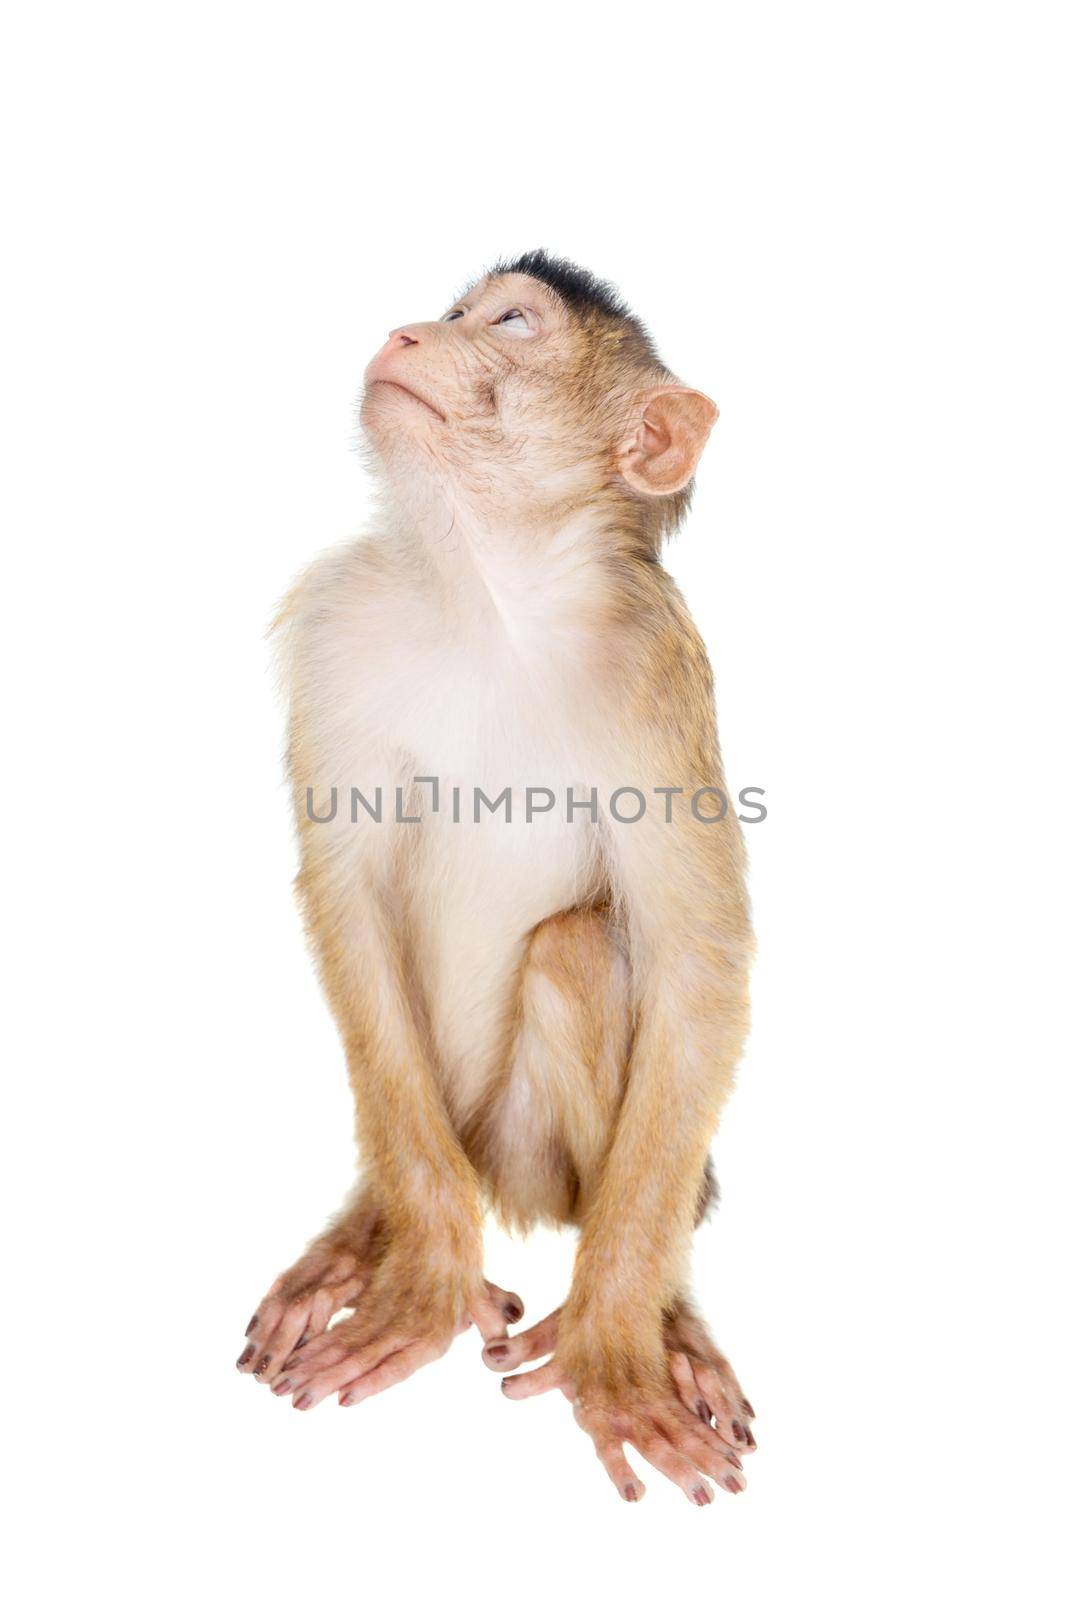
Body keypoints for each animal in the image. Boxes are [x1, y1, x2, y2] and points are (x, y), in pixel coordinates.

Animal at [238, 252, 755, 1510]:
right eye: (456, 312)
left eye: (510, 325)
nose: (405, 334)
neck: (493, 589)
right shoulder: (340, 621)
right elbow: (346, 891)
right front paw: (424, 1270)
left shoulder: (661, 664)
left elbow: (695, 955)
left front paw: (617, 1343)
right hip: (456, 1123)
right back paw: (371, 1227)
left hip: (534, 1149)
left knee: (579, 946)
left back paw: (665, 1314)